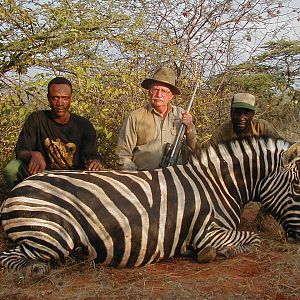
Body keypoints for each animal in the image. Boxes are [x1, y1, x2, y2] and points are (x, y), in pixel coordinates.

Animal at [0, 136, 300, 276]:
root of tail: (17, 188)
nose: (297, 239)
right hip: (51, 235)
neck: (217, 185)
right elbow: (254, 239)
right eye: (298, 187)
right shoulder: (208, 232)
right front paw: (214, 254)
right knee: (11, 258)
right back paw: (35, 271)